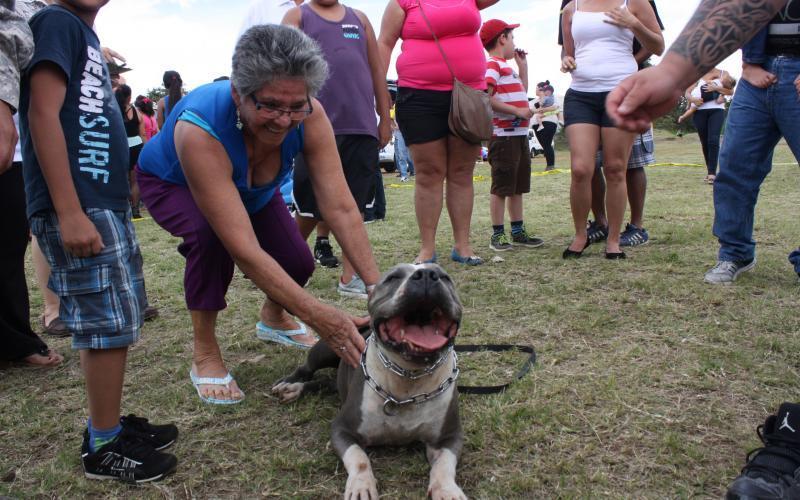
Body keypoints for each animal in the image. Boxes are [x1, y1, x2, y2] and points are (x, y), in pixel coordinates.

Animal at [272, 264, 466, 498]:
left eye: (445, 278)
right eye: (393, 277)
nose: (428, 275)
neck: (408, 378)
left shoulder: (448, 437)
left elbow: (444, 465)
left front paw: (447, 491)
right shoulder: (342, 429)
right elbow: (359, 458)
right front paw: (361, 486)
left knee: (324, 383)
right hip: (328, 347)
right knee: (307, 368)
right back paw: (291, 385)